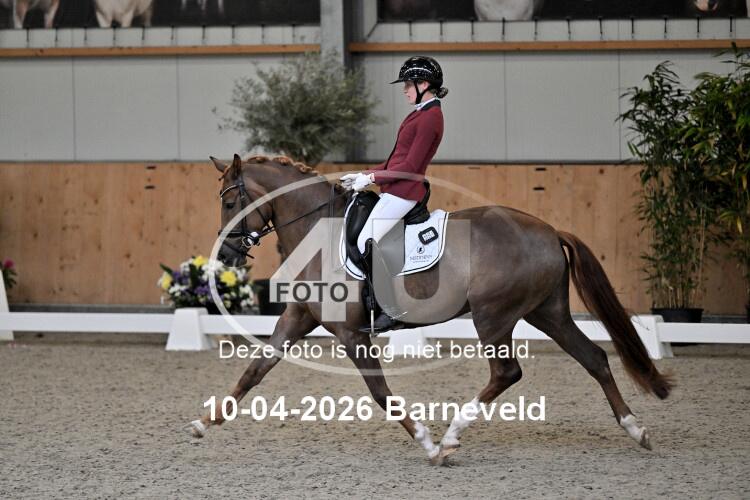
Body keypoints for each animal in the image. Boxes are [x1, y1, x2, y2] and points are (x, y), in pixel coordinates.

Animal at [189, 153, 672, 465]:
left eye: (230, 203)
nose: (226, 256)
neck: (317, 230)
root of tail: (551, 231)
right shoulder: (298, 317)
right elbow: (254, 370)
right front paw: (203, 423)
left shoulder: (352, 334)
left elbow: (381, 394)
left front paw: (428, 444)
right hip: (547, 313)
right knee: (594, 358)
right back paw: (637, 430)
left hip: (493, 316)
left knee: (507, 373)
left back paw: (452, 435)